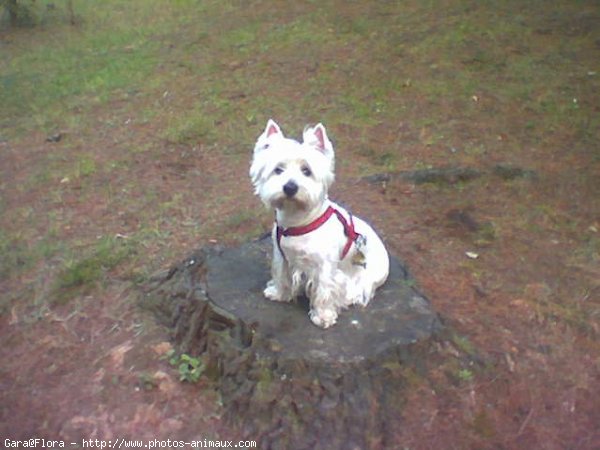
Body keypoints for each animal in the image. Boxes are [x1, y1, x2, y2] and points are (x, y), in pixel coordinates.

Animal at [248, 119, 390, 328]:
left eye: (306, 171)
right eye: (278, 169)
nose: (290, 187)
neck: (297, 221)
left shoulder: (325, 267)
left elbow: (324, 290)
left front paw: (323, 316)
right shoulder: (282, 256)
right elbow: (281, 275)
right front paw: (278, 293)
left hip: (366, 276)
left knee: (358, 291)